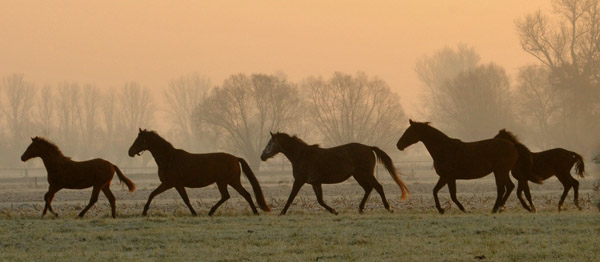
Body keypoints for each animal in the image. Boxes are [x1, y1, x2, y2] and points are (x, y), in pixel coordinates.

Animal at [128, 128, 270, 216]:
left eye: (140, 140)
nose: (130, 152)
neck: (169, 159)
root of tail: (235, 158)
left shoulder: (174, 184)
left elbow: (185, 199)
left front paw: (194, 213)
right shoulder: (168, 184)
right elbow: (152, 194)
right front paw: (144, 212)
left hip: (227, 182)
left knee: (235, 195)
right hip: (228, 182)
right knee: (238, 195)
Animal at [260, 132, 410, 214]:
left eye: (269, 143)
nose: (262, 156)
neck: (301, 155)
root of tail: (368, 147)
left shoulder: (299, 180)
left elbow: (291, 197)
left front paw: (281, 213)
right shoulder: (315, 183)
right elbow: (320, 200)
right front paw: (334, 211)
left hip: (366, 174)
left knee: (378, 187)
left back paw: (388, 207)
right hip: (358, 175)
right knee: (368, 189)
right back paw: (360, 208)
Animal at [398, 119, 528, 214]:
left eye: (409, 131)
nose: (398, 145)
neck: (444, 149)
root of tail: (513, 145)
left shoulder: (448, 177)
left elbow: (451, 195)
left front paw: (461, 209)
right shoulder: (446, 178)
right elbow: (436, 191)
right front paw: (442, 210)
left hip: (501, 171)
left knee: (506, 188)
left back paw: (498, 208)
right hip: (500, 172)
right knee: (506, 188)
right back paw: (498, 207)